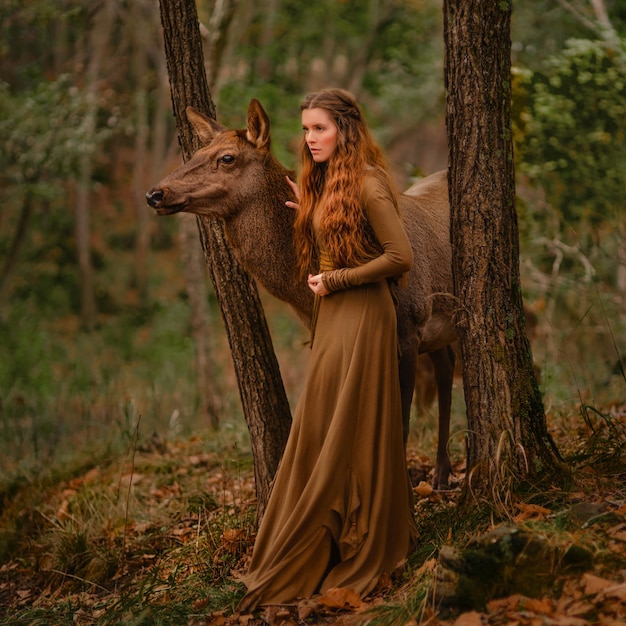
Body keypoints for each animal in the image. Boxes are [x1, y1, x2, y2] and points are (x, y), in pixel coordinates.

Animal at [146, 97, 458, 488]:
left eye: (227, 157)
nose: (155, 193)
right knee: (446, 366)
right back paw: (442, 470)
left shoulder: (408, 328)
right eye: (196, 153)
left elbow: (399, 423)